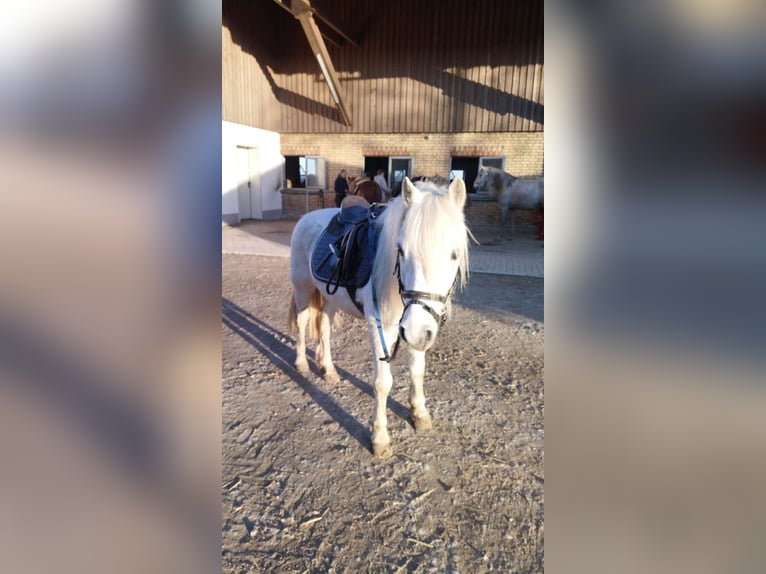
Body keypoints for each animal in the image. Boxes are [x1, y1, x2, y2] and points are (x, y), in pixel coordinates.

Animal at [288, 177, 470, 458]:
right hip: (303, 290)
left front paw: (419, 414)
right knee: (301, 323)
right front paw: (380, 437)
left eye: (453, 254)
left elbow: (417, 371)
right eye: (401, 250)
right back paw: (301, 364)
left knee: (325, 329)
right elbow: (383, 383)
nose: (416, 331)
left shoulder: (415, 325)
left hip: (330, 298)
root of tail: (306, 218)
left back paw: (328, 369)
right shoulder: (381, 327)